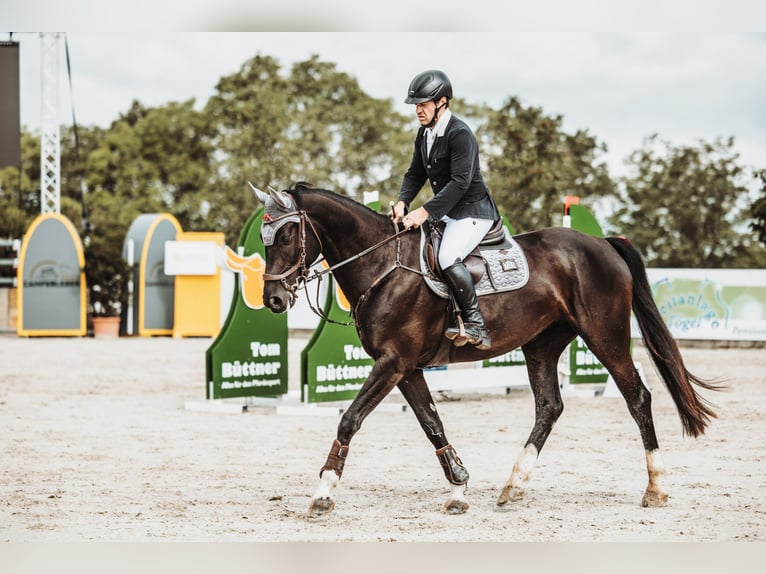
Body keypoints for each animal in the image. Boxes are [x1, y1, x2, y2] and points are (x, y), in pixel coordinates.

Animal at [251, 182, 720, 517]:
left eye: (288, 233)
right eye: (263, 235)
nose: (273, 299)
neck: (383, 265)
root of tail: (603, 243)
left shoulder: (393, 362)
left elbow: (350, 419)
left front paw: (324, 491)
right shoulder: (407, 368)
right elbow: (431, 423)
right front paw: (459, 486)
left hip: (605, 337)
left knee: (637, 397)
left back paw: (656, 487)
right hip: (542, 346)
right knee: (549, 407)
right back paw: (514, 485)